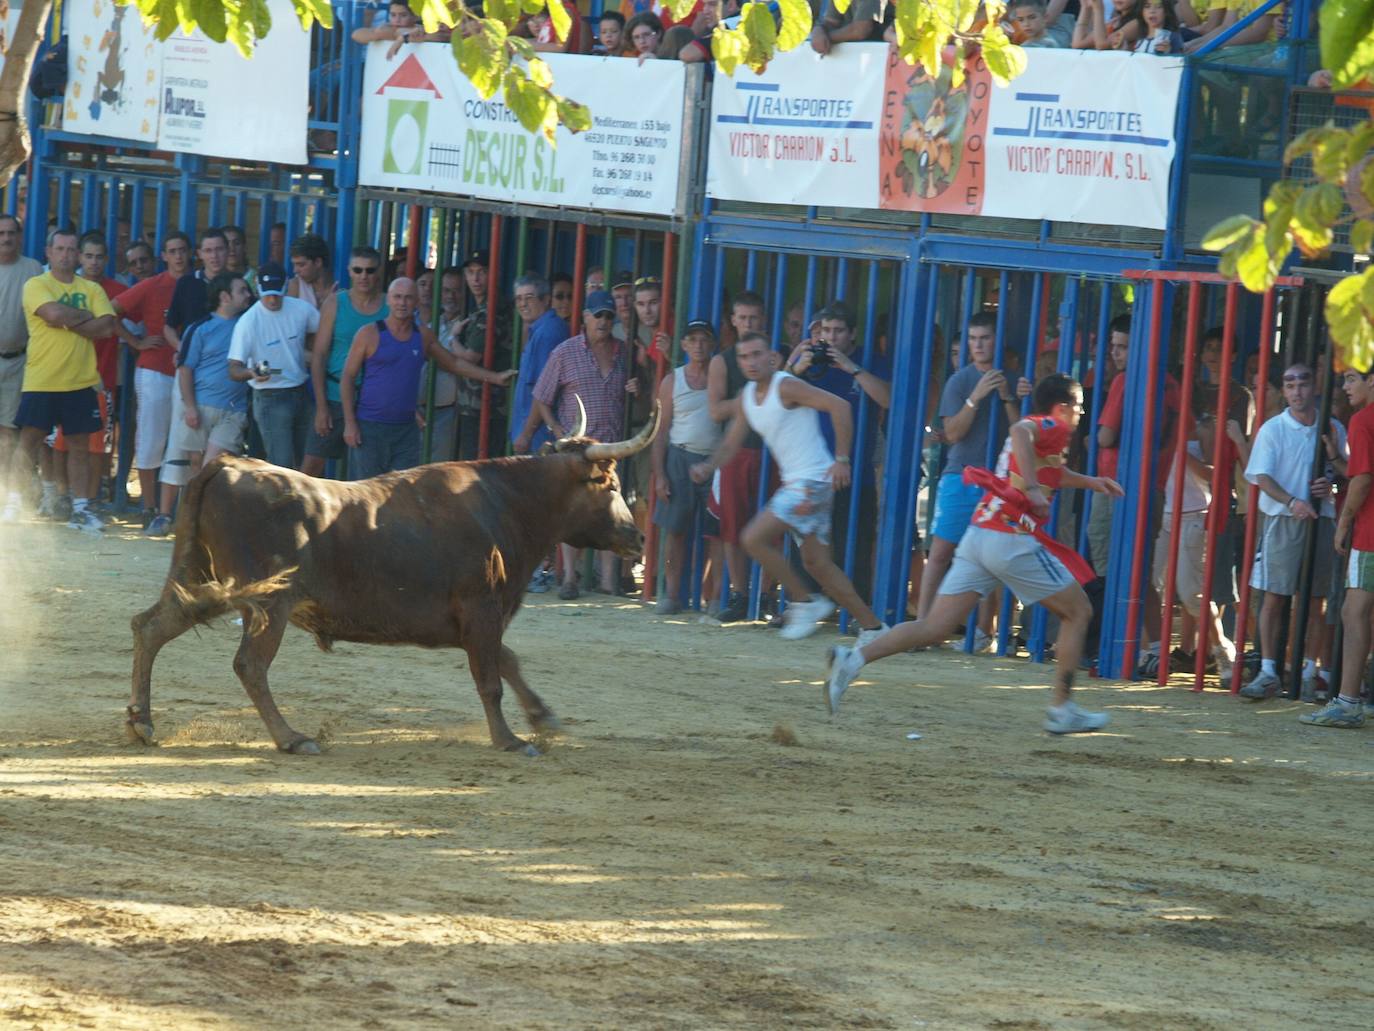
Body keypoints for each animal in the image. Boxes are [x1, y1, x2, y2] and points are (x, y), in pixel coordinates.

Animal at [129, 404, 659, 758]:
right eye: (611, 485)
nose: (637, 536)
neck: (507, 502)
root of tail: (228, 465)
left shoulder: (476, 621)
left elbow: (507, 661)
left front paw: (544, 718)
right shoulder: (482, 609)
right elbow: (490, 679)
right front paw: (510, 740)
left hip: (200, 578)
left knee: (151, 627)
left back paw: (142, 722)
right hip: (268, 603)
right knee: (249, 665)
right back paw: (292, 738)